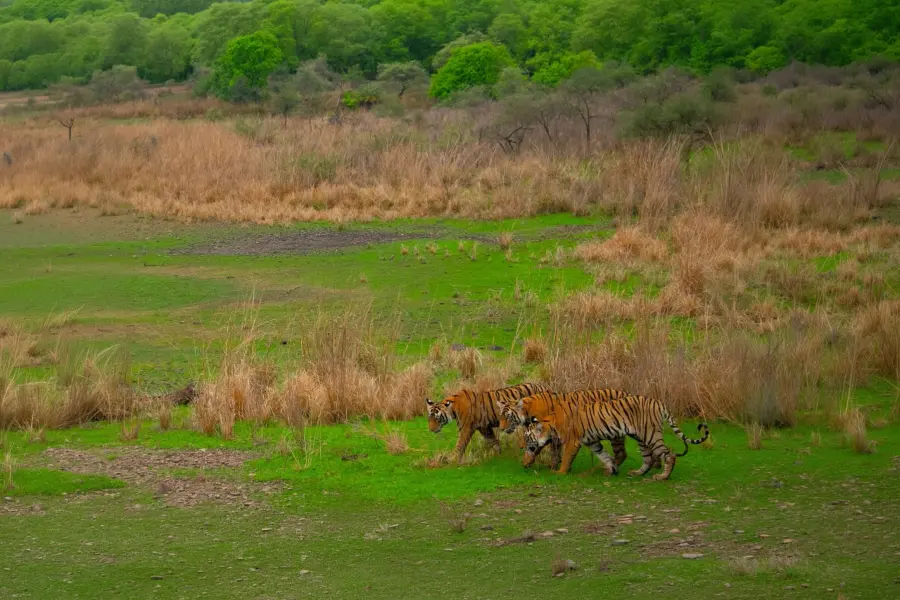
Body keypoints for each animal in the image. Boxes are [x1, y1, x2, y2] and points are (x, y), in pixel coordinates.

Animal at [496, 388, 634, 471]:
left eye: (507, 417)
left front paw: (546, 464)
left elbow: (544, 449)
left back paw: (602, 468)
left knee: (621, 453)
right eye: (500, 416)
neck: (527, 412)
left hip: (615, 433)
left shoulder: (548, 432)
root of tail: (626, 393)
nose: (501, 428)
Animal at [517, 392, 709, 480]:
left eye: (527, 439)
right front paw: (611, 470)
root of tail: (658, 402)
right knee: (647, 458)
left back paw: (663, 476)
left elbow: (566, 458)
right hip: (641, 437)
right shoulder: (593, 442)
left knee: (669, 454)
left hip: (650, 434)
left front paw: (560, 472)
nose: (523, 448)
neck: (551, 422)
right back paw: (637, 472)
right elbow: (605, 456)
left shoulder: (573, 441)